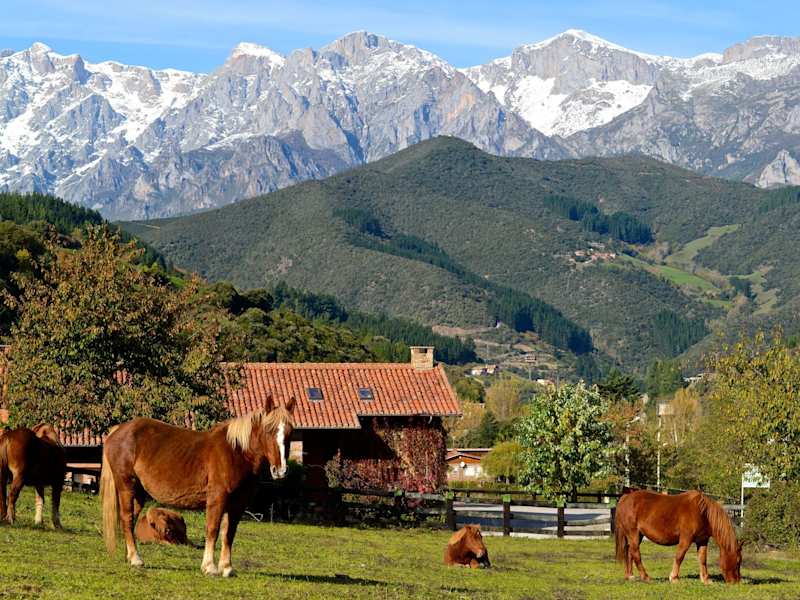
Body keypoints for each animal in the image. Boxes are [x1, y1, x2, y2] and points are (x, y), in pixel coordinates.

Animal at [100, 396, 295, 577]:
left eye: (290, 433)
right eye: (268, 430)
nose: (280, 470)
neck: (236, 453)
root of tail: (118, 430)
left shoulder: (237, 505)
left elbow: (229, 534)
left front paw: (227, 568)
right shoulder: (217, 499)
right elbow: (213, 530)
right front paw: (209, 567)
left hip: (139, 493)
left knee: (131, 520)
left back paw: (130, 556)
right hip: (127, 486)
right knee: (127, 518)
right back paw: (136, 559)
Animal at [614, 489, 743, 583]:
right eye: (737, 562)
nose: (736, 582)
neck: (703, 512)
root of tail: (625, 498)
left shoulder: (702, 540)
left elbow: (702, 559)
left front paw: (705, 579)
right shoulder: (686, 539)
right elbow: (679, 556)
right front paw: (674, 577)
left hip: (638, 535)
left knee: (629, 553)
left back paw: (630, 576)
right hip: (633, 534)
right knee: (635, 553)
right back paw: (645, 577)